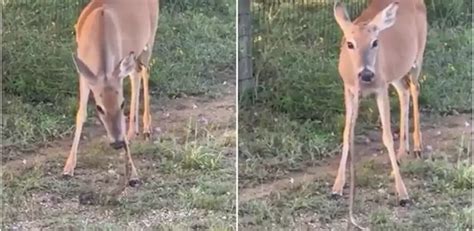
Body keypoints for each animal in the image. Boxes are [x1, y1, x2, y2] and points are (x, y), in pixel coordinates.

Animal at [62, 0, 159, 188]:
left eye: (122, 104)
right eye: (99, 108)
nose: (117, 143)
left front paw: (133, 175)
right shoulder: (85, 76)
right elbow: (80, 114)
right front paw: (68, 167)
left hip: (150, 37)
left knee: (144, 72)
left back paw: (145, 128)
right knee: (136, 74)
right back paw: (133, 131)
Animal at [332, 0, 428, 227]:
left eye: (375, 42)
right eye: (350, 44)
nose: (367, 74)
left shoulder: (380, 87)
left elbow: (386, 137)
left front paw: (403, 194)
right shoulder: (349, 89)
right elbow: (346, 134)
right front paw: (337, 187)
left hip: (417, 56)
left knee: (414, 88)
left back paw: (417, 147)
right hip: (396, 72)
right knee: (404, 91)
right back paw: (402, 153)